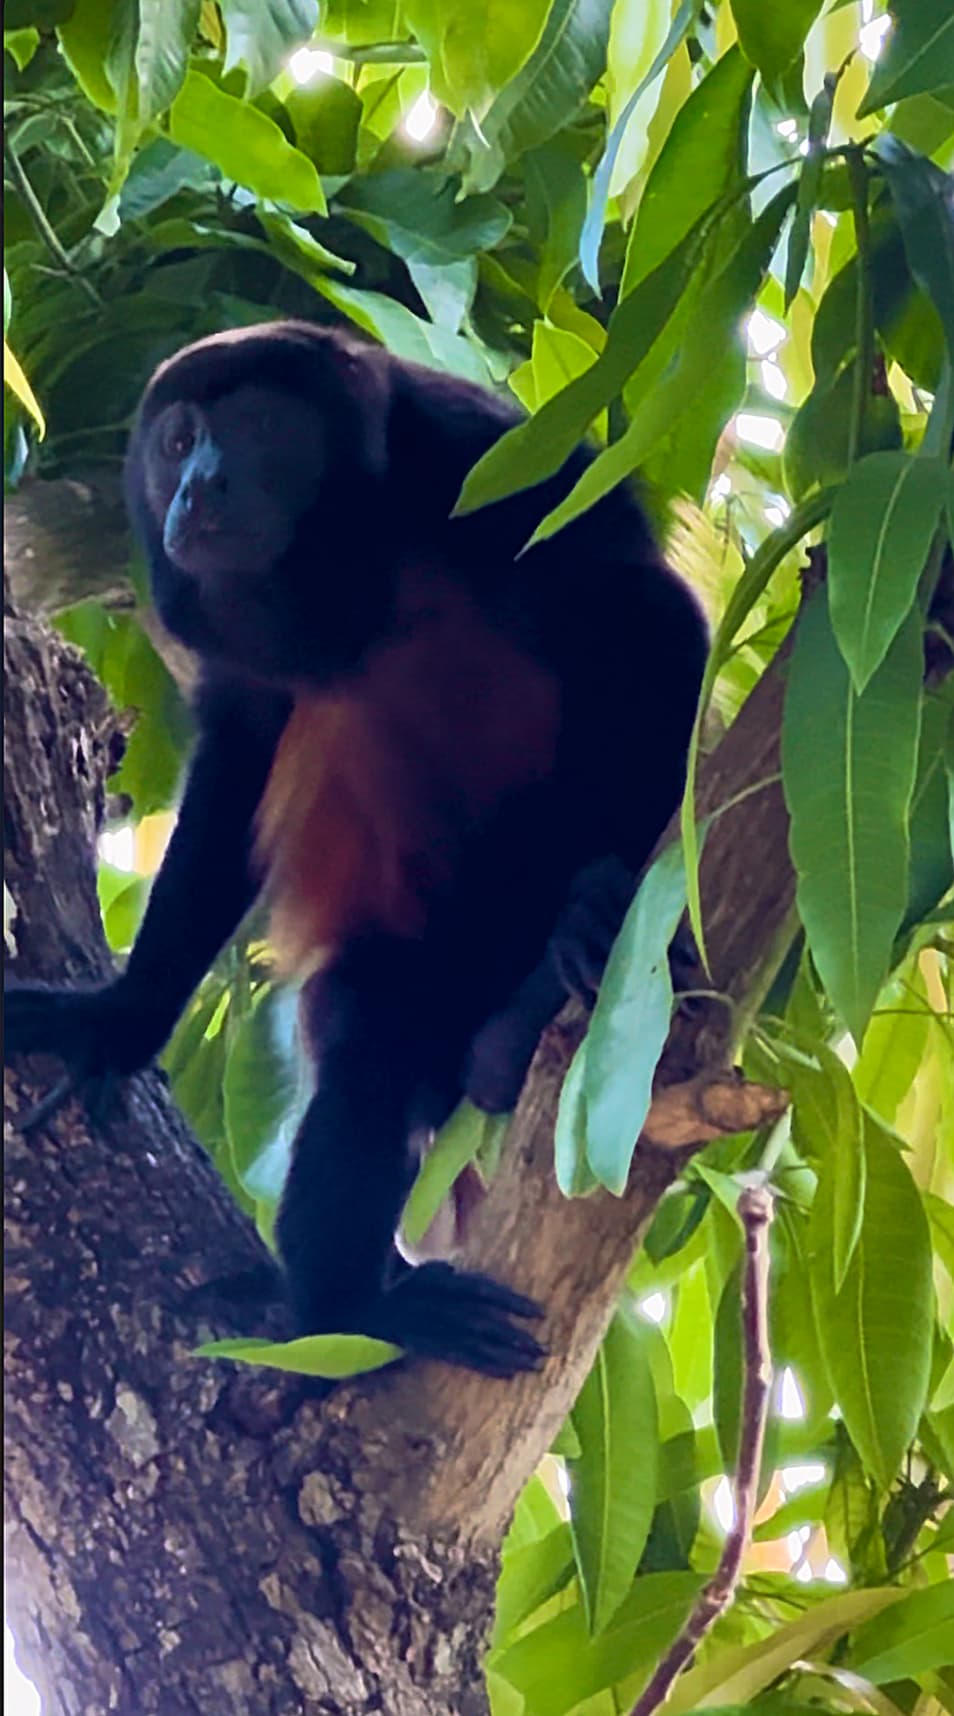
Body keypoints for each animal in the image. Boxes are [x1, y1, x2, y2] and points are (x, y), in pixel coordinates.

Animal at [5, 321, 708, 1376]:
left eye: (259, 427)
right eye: (177, 440)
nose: (197, 486)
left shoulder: (492, 460)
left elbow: (656, 619)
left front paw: (617, 897)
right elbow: (241, 756)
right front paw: (119, 1021)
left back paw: (553, 963)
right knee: (368, 1054)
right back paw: (358, 1308)